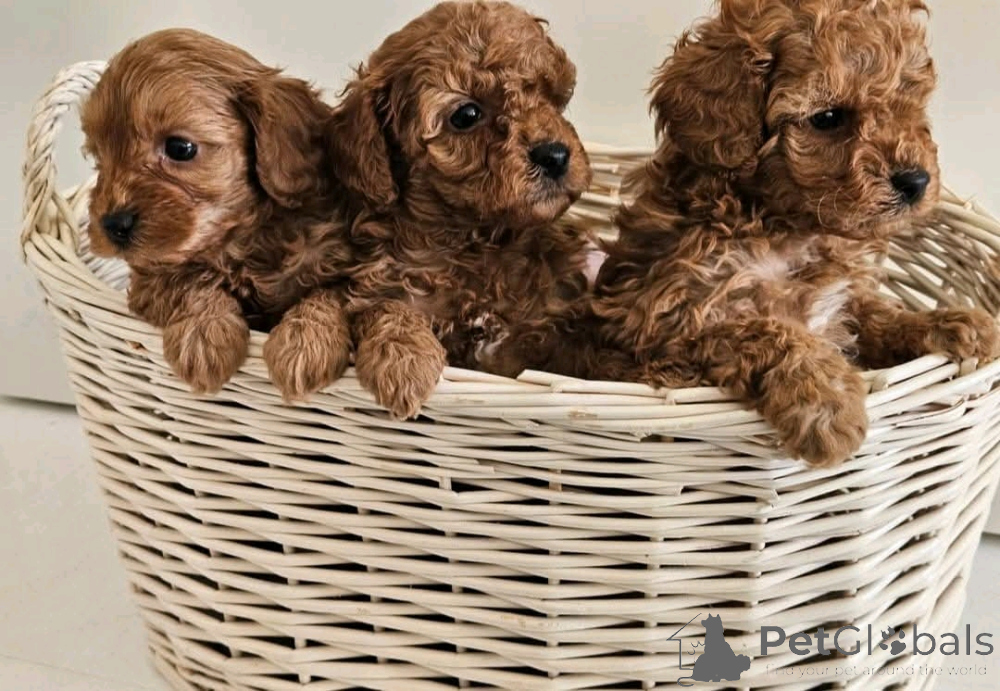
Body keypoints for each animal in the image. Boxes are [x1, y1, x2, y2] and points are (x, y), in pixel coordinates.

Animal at [81, 29, 353, 400]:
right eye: (99, 157)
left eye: (180, 148)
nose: (112, 224)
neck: (243, 238)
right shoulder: (148, 278)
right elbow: (187, 278)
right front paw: (203, 337)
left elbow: (329, 293)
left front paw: (305, 344)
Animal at [328, 1, 594, 418]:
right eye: (466, 115)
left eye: (551, 94)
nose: (555, 155)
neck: (475, 240)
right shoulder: (381, 281)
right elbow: (386, 307)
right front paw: (404, 367)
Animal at [584, 0, 999, 466]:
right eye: (828, 117)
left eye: (905, 106)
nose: (916, 181)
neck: (784, 227)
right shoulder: (662, 325)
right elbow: (762, 331)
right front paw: (827, 400)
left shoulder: (839, 300)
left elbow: (874, 311)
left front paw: (949, 322)